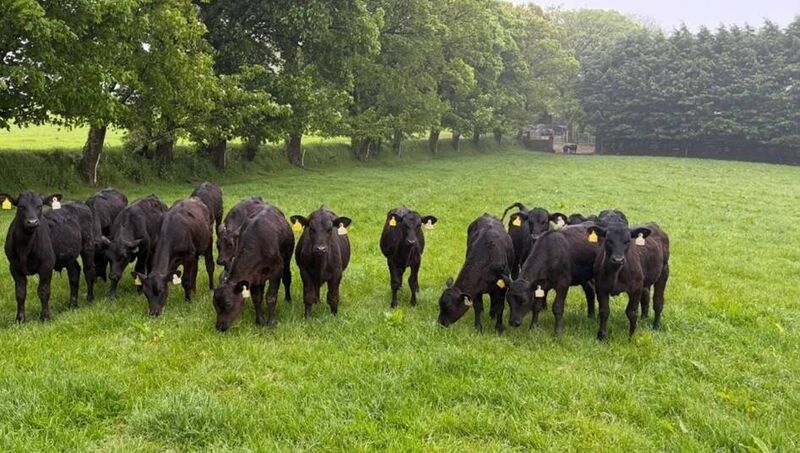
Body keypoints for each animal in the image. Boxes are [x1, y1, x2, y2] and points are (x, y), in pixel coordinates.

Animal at [0, 192, 95, 321]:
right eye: (21, 206)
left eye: (40, 206)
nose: (32, 222)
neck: (24, 248)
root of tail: (78, 203)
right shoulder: (14, 267)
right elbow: (20, 293)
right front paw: (20, 319)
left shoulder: (46, 265)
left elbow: (43, 291)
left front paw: (45, 316)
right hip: (68, 252)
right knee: (74, 273)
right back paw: (72, 304)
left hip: (88, 245)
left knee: (88, 271)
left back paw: (90, 298)